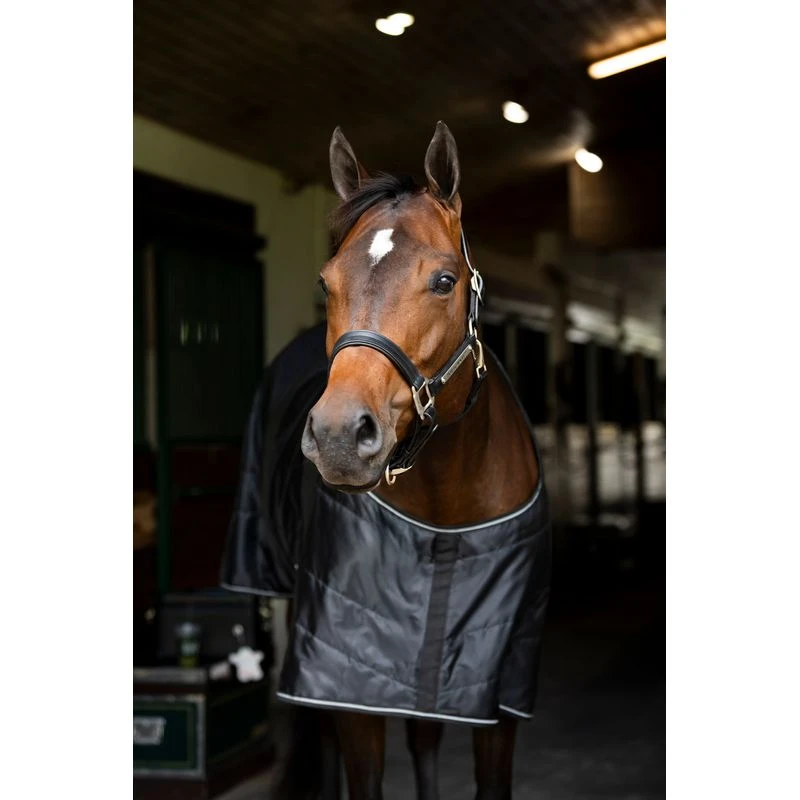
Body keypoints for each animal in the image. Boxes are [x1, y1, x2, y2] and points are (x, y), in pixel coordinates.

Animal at [224, 122, 551, 800]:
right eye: (326, 282)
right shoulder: (350, 683)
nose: (340, 436)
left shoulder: (499, 691)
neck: (446, 515)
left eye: (445, 281)